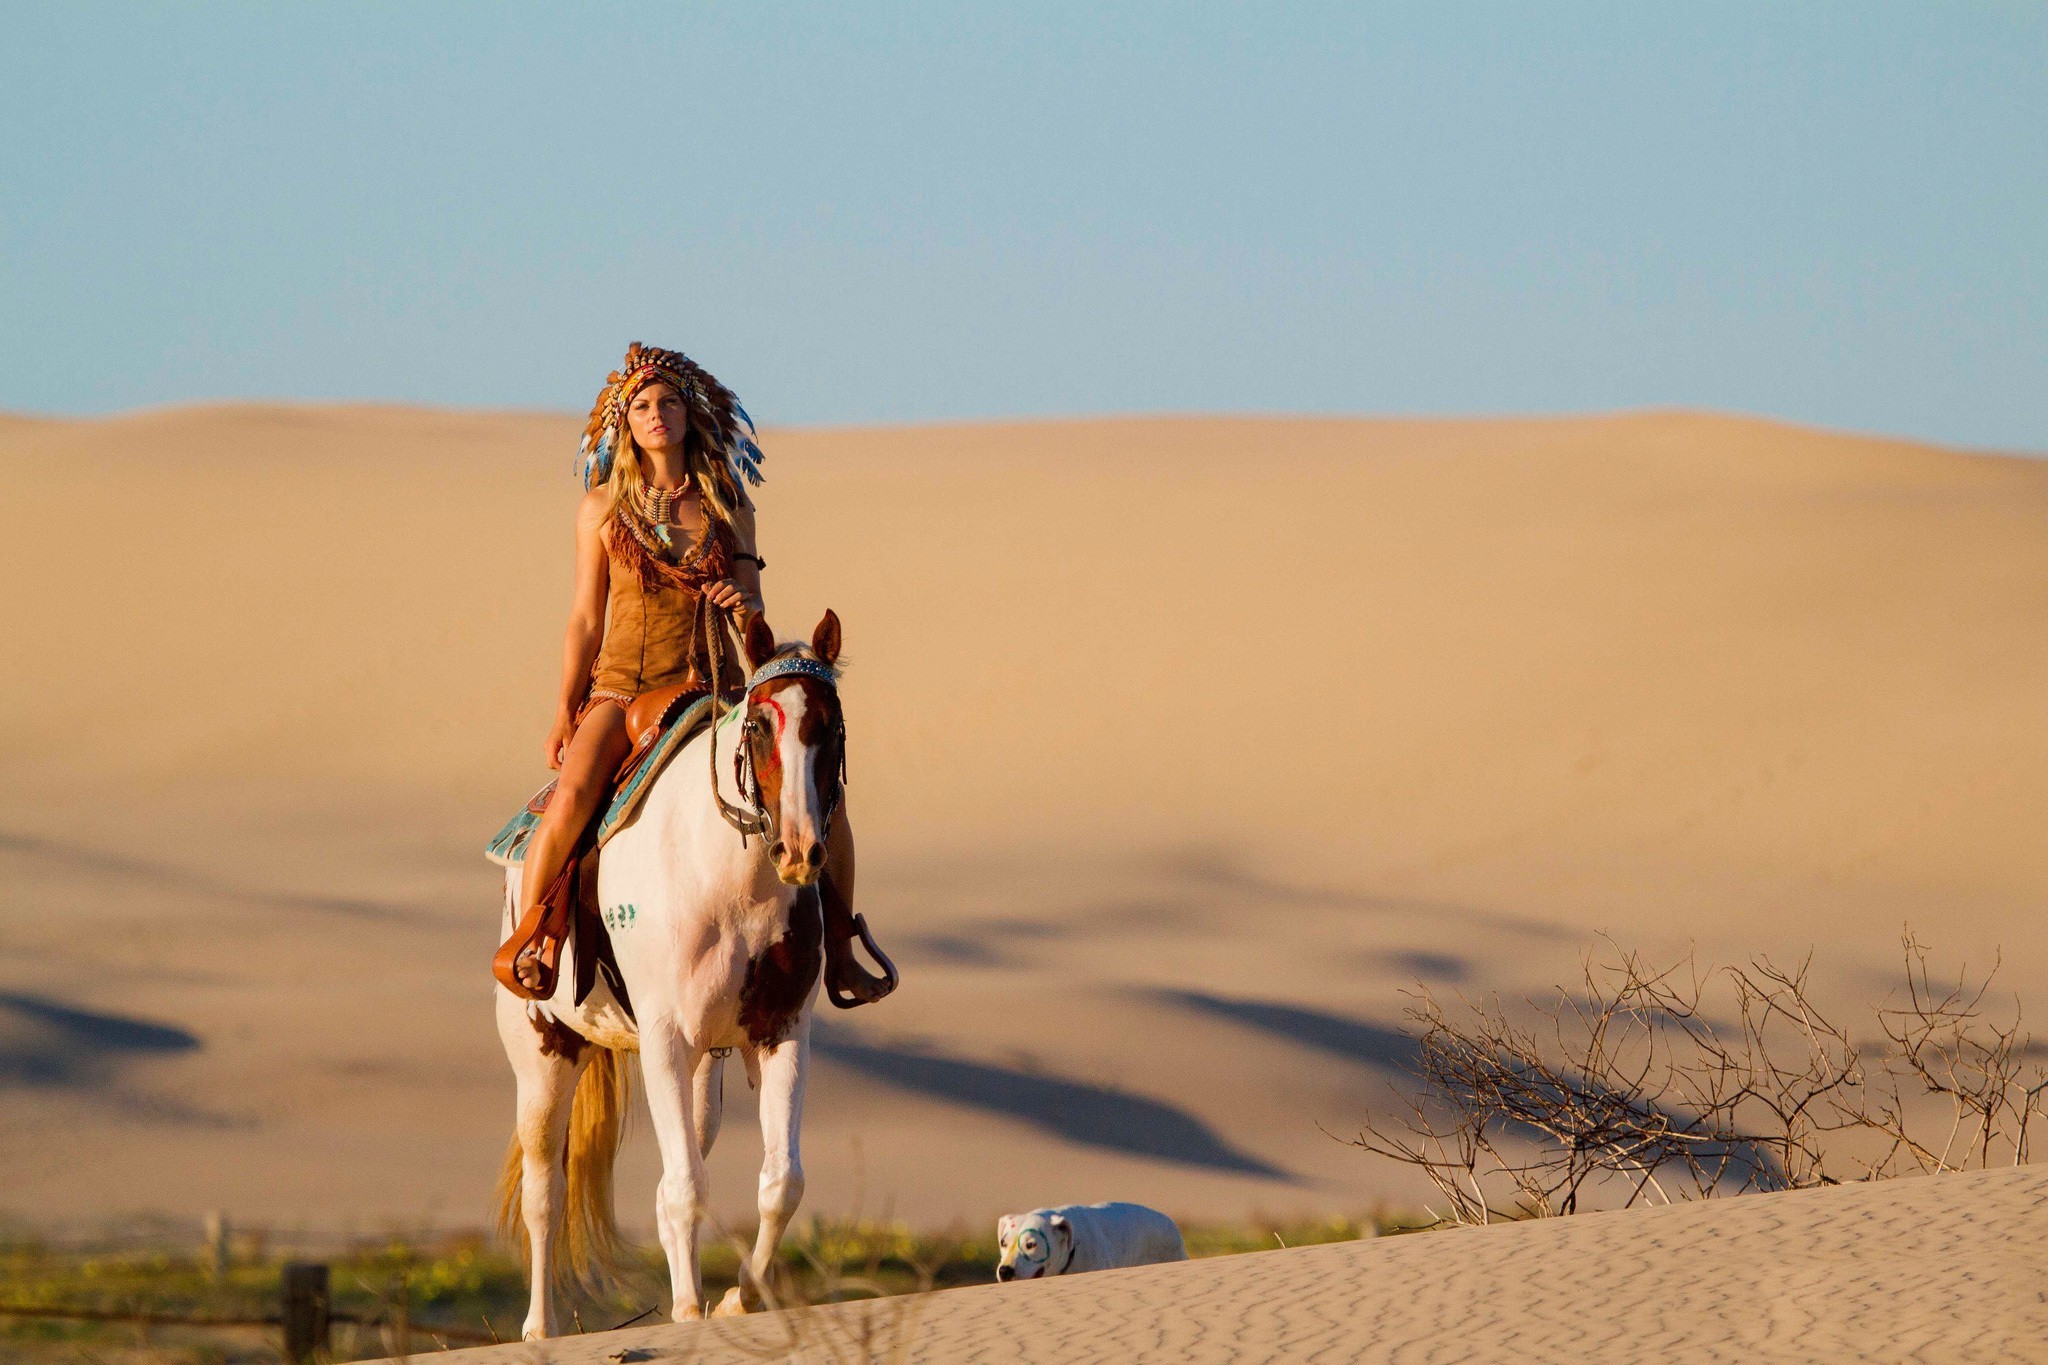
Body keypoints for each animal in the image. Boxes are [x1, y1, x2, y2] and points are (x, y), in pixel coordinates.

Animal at [491, 609, 843, 1334]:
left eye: (834, 726)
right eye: (758, 724)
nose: (799, 848)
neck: (731, 881)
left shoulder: (781, 1031)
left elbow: (780, 1182)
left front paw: (735, 1298)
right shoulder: (663, 1038)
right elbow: (684, 1188)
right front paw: (686, 1307)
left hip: (703, 1065)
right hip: (544, 1054)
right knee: (545, 1191)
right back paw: (539, 1327)